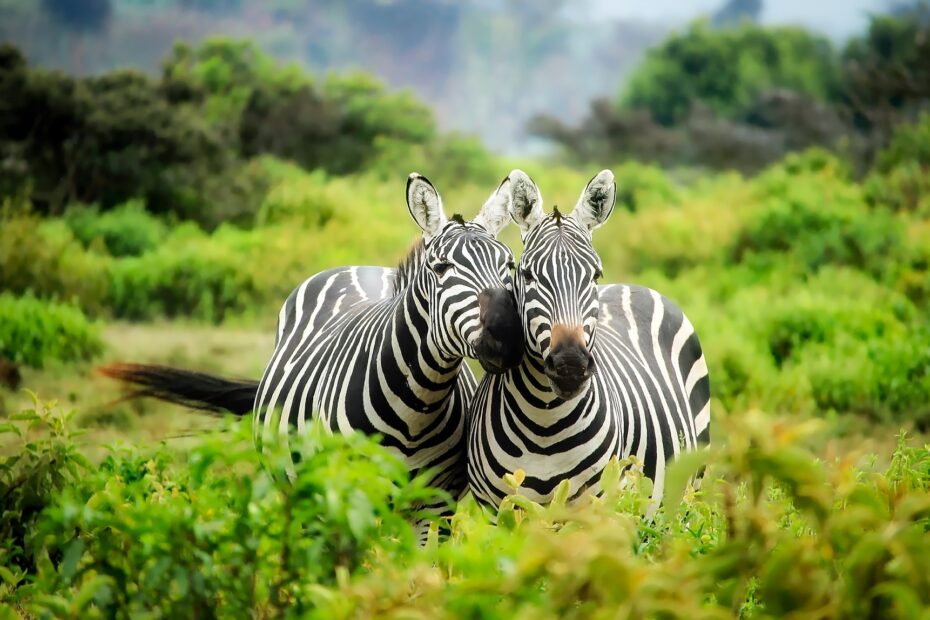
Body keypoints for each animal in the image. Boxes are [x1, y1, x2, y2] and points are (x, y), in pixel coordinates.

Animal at [103, 171, 520, 508]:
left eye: (509, 265)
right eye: (441, 267)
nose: (507, 333)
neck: (417, 406)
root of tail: (359, 267)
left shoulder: (435, 504)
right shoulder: (350, 493)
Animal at [468, 168, 708, 508]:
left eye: (595, 275)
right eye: (527, 275)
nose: (570, 365)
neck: (544, 423)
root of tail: (633, 286)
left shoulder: (595, 506)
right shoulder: (496, 509)